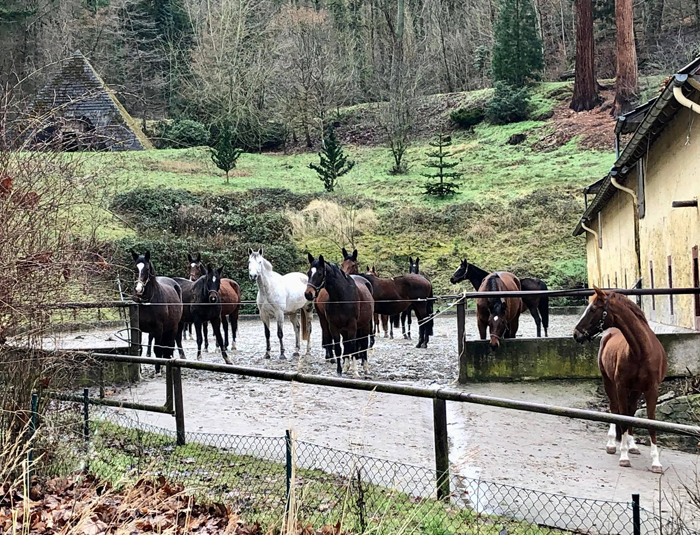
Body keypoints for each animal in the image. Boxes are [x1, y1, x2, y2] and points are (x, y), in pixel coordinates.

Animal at [576, 286, 668, 476]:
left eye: (593, 309)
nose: (576, 334)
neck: (641, 351)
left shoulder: (651, 390)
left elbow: (649, 422)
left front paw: (656, 462)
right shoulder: (621, 386)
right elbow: (623, 417)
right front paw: (624, 457)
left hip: (636, 390)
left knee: (631, 410)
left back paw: (632, 445)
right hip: (609, 383)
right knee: (613, 408)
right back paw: (612, 444)